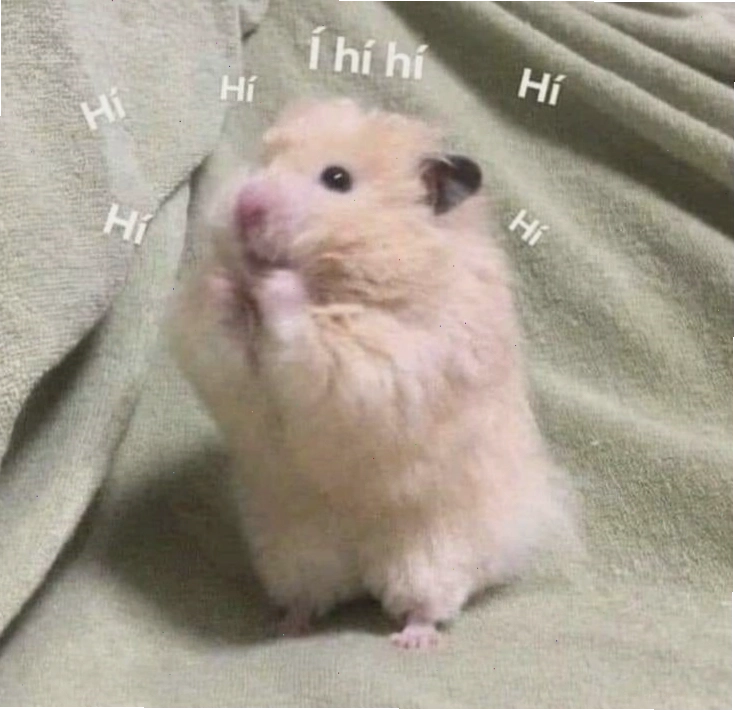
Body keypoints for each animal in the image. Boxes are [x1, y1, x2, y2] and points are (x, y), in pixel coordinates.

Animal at [167, 98, 578, 649]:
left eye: (337, 179)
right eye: (263, 161)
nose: (246, 205)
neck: (336, 280)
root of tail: (361, 568)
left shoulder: (389, 361)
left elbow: (311, 334)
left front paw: (275, 283)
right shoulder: (214, 357)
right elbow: (216, 326)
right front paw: (223, 282)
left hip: (430, 549)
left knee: (428, 601)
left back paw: (412, 639)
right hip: (294, 548)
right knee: (311, 594)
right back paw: (288, 626)